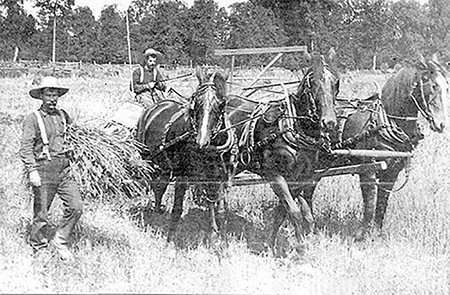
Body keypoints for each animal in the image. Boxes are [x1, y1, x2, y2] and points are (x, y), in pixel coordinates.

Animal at [135, 66, 230, 245]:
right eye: (195, 103)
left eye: (221, 104)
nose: (201, 142)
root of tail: (155, 106)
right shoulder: (183, 176)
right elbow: (177, 208)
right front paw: (170, 240)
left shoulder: (217, 175)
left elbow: (216, 206)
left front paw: (219, 238)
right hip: (147, 158)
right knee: (148, 181)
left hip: (164, 166)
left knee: (160, 186)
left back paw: (157, 211)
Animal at [220, 49, 340, 256]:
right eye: (312, 82)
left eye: (335, 82)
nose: (329, 122)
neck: (293, 127)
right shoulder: (274, 174)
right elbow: (294, 212)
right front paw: (300, 248)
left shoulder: (301, 178)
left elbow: (290, 213)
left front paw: (271, 245)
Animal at [272, 55, 448, 243]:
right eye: (433, 86)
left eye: (446, 87)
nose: (441, 124)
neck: (384, 121)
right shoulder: (367, 170)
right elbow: (370, 205)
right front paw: (361, 235)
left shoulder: (391, 172)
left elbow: (382, 204)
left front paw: (377, 233)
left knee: (307, 192)